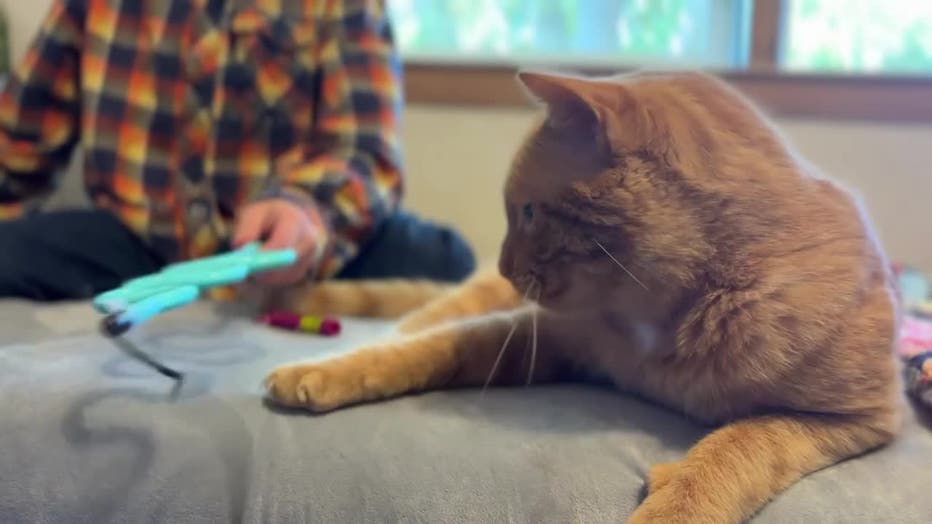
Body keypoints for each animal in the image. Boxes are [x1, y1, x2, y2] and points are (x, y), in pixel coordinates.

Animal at [264, 70, 901, 523]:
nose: (504, 265)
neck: (670, 318)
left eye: (527, 212)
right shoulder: (550, 335)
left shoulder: (851, 418)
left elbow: (740, 446)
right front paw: (326, 370)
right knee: (422, 317)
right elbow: (430, 350)